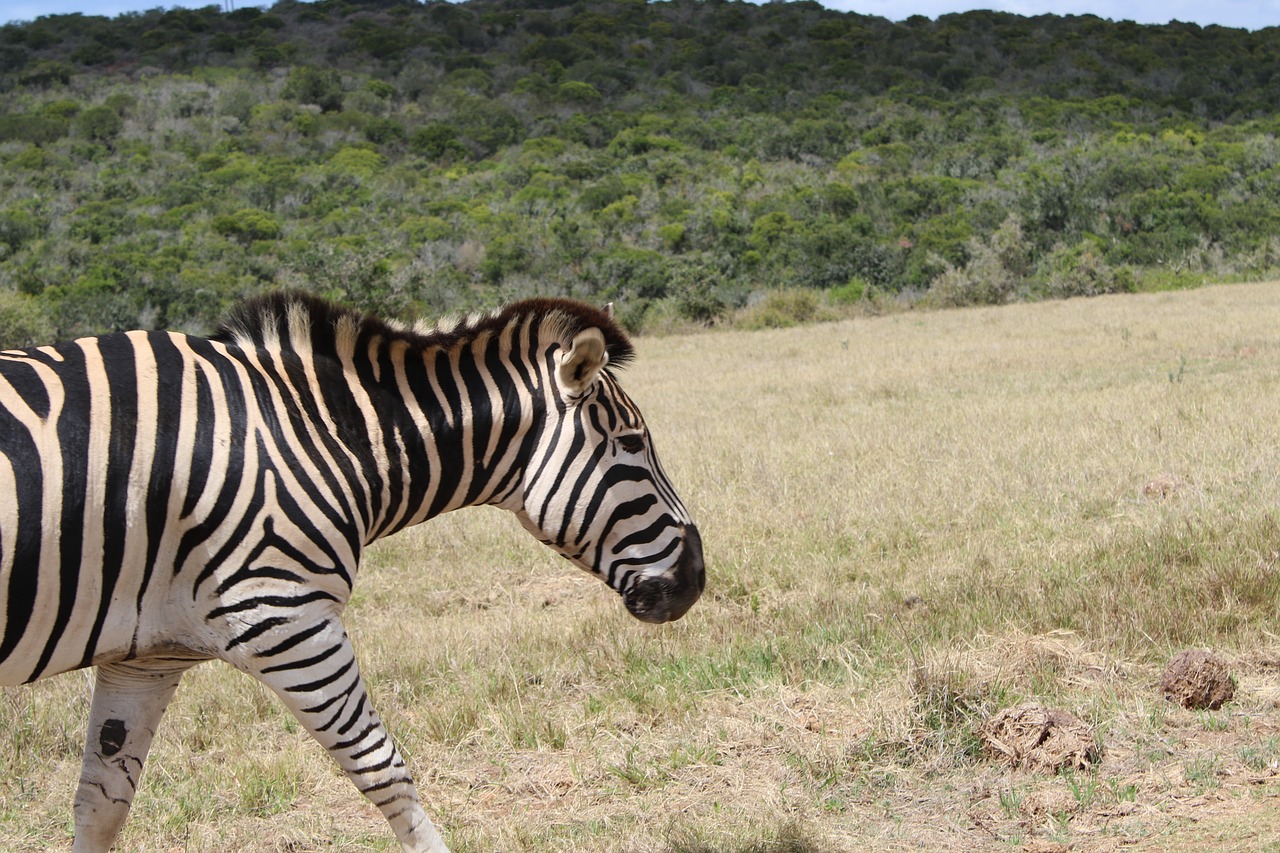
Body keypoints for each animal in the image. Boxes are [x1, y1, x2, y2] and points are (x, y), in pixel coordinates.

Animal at [0, 289, 706, 845]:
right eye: (633, 445)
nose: (696, 580)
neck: (316, 436)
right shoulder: (286, 618)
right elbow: (385, 771)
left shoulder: (147, 655)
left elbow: (101, 805)